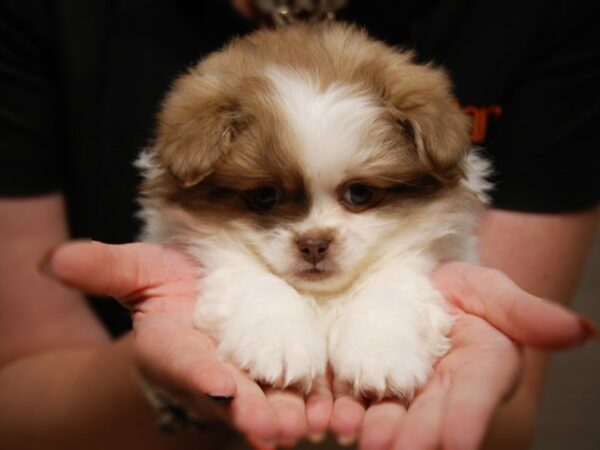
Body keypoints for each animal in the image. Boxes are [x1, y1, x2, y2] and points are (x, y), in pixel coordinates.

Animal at [138, 22, 490, 400]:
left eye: (360, 193)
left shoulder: (416, 253)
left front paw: (381, 355)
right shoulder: (217, 250)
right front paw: (280, 346)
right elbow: (258, 284)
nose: (314, 244)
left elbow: (389, 289)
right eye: (265, 196)